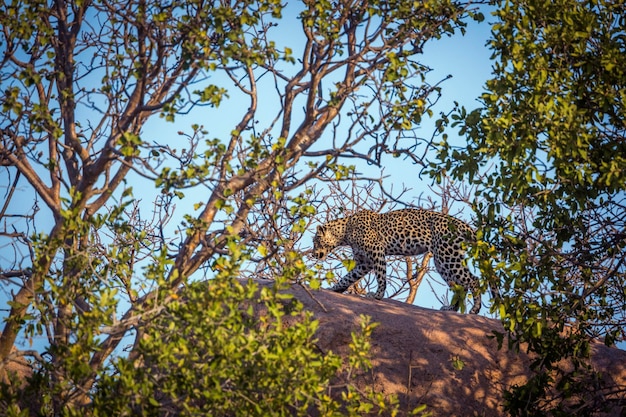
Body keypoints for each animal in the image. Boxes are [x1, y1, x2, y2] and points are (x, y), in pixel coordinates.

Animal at [312, 208, 482, 312]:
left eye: (316, 241)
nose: (313, 254)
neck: (345, 232)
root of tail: (462, 224)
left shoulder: (376, 251)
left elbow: (381, 276)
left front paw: (377, 295)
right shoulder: (364, 263)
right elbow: (348, 277)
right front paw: (334, 289)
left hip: (447, 255)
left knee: (473, 280)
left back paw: (474, 310)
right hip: (442, 261)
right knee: (461, 285)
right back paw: (451, 309)